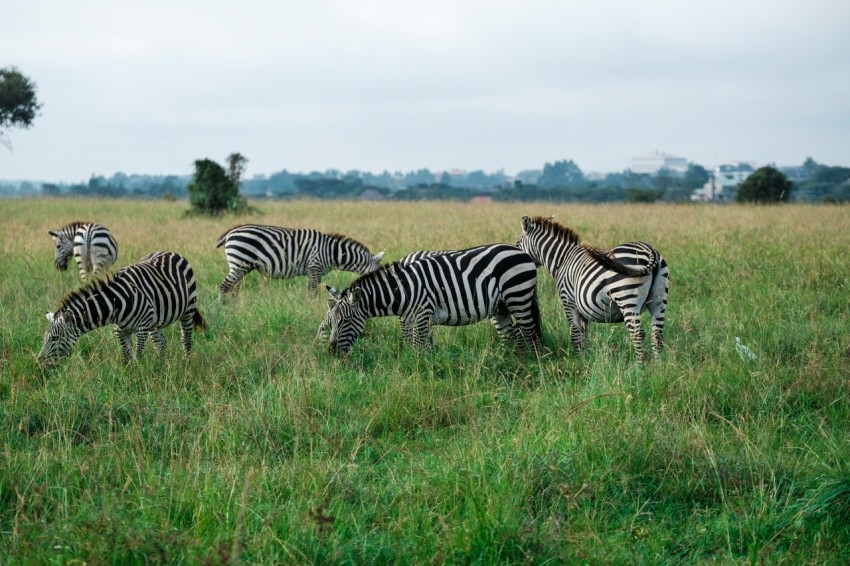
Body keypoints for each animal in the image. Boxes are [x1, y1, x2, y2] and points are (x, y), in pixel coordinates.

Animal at [38, 251, 207, 366]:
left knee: (186, 339)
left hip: (187, 310)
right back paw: (162, 367)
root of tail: (170, 252)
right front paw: (128, 376)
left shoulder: (141, 328)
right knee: (161, 344)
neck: (116, 304)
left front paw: (138, 376)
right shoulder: (119, 330)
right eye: (45, 338)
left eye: (55, 338)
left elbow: (137, 355)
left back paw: (186, 365)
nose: (40, 361)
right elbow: (126, 356)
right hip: (155, 322)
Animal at [214, 224, 386, 300]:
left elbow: (313, 291)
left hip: (242, 266)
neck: (331, 252)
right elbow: (312, 292)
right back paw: (223, 308)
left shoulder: (317, 272)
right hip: (239, 263)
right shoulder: (314, 267)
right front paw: (310, 308)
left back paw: (235, 306)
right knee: (224, 286)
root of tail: (231, 232)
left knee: (234, 288)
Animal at [322, 243, 540, 358]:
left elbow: (418, 346)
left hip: (518, 296)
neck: (404, 290)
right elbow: (418, 344)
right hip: (501, 306)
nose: (331, 352)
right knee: (512, 336)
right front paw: (424, 367)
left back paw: (532, 365)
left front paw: (419, 372)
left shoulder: (422, 313)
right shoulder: (411, 318)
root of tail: (521, 252)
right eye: (332, 322)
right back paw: (511, 363)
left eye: (345, 321)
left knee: (529, 334)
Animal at [512, 215, 664, 362]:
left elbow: (574, 334)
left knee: (638, 334)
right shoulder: (583, 310)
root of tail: (649, 250)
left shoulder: (568, 301)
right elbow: (584, 336)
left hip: (627, 298)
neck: (563, 260)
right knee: (657, 334)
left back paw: (639, 366)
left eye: (517, 244)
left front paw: (579, 361)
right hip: (659, 301)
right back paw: (657, 366)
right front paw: (586, 359)